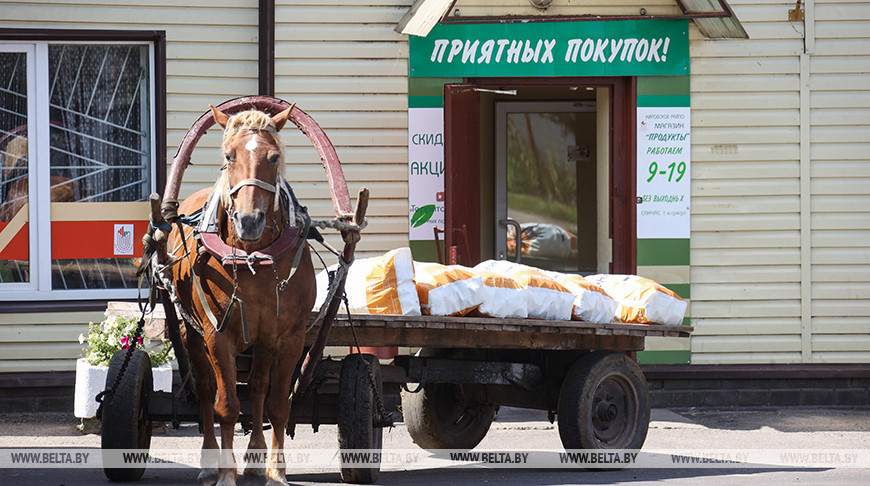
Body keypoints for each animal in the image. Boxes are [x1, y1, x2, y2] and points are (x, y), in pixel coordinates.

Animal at [164, 106, 316, 486]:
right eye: (228, 156)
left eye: (274, 157)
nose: (249, 220)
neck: (252, 257)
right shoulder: (217, 336)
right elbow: (227, 406)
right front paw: (225, 473)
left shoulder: (290, 337)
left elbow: (277, 404)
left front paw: (276, 471)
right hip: (192, 333)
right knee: (206, 389)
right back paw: (208, 461)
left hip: (262, 341)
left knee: (259, 387)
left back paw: (257, 456)